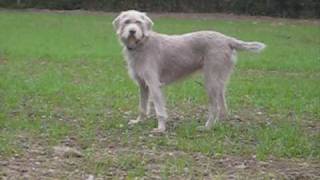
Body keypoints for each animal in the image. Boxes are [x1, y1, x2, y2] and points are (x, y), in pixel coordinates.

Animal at [112, 10, 264, 134]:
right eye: (127, 22)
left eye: (138, 22)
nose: (132, 31)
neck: (142, 44)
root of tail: (227, 39)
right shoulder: (143, 85)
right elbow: (142, 107)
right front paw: (138, 121)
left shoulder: (154, 85)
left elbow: (159, 109)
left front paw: (161, 128)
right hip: (219, 83)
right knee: (222, 107)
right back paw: (215, 125)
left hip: (210, 82)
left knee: (215, 107)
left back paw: (207, 127)